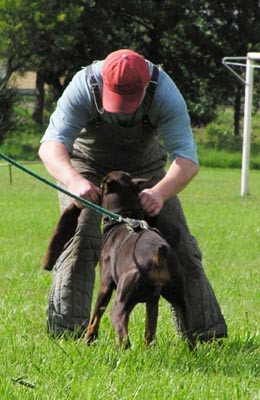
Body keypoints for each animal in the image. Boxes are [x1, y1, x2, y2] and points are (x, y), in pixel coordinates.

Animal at [42, 170, 193, 348]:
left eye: (101, 184)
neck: (125, 217)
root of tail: (159, 254)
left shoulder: (105, 286)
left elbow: (94, 319)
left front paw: (87, 341)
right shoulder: (152, 300)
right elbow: (149, 331)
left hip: (121, 302)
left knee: (123, 337)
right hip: (181, 302)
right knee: (188, 338)